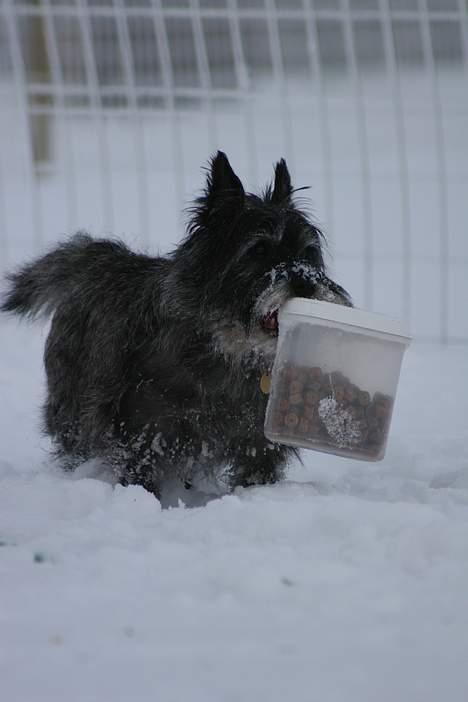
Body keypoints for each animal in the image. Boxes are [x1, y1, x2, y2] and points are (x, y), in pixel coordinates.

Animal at [0, 151, 352, 498]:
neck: (227, 349)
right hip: (73, 411)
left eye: (308, 251)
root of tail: (96, 261)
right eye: (259, 249)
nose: (306, 284)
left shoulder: (257, 443)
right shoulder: (141, 433)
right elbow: (140, 476)